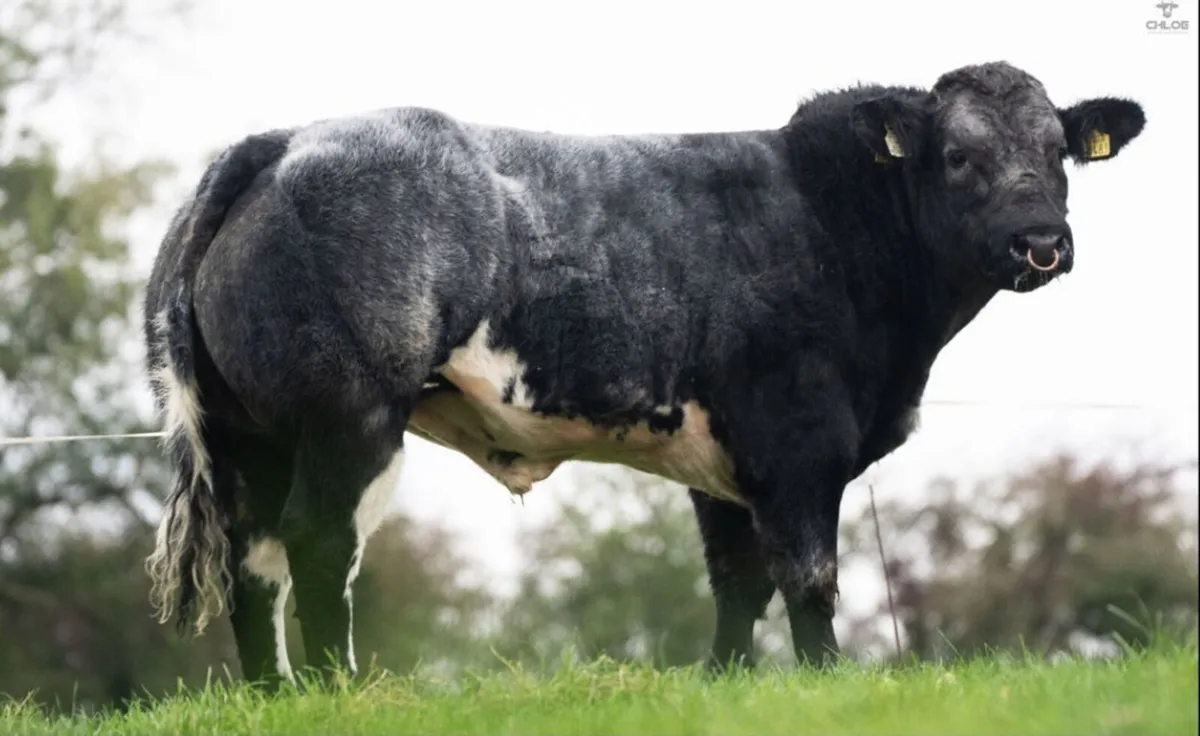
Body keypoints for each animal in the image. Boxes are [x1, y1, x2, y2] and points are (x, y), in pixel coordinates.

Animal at [142, 60, 1145, 686]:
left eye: (1057, 153)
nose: (1042, 243)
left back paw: (277, 695)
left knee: (251, 558)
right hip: (349, 418)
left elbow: (738, 581)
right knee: (317, 545)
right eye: (960, 155)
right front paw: (824, 678)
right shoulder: (799, 447)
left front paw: (729, 679)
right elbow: (809, 578)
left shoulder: (724, 462)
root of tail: (283, 140)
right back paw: (338, 689)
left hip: (248, 432)